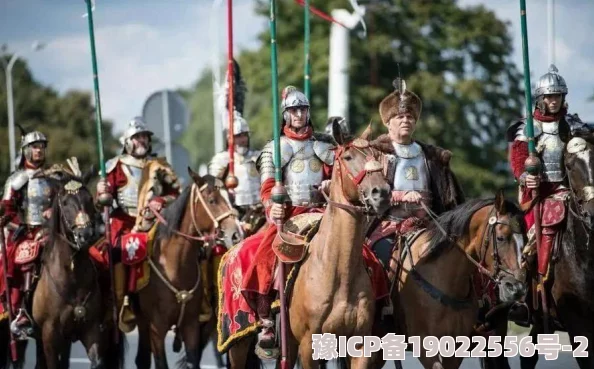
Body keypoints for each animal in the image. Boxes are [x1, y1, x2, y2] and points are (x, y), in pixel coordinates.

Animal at [4, 165, 125, 368]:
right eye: (66, 202)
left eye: (89, 199)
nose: (85, 234)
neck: (71, 276)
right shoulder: (50, 334)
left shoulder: (91, 330)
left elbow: (96, 361)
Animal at [131, 167, 242, 368]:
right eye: (212, 200)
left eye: (230, 198)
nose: (235, 235)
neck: (174, 266)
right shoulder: (156, 328)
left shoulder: (191, 326)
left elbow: (193, 360)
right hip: (143, 322)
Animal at [217, 121, 394, 369]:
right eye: (348, 157)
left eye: (376, 155)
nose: (382, 194)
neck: (337, 270)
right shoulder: (308, 346)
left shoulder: (359, 346)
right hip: (239, 343)